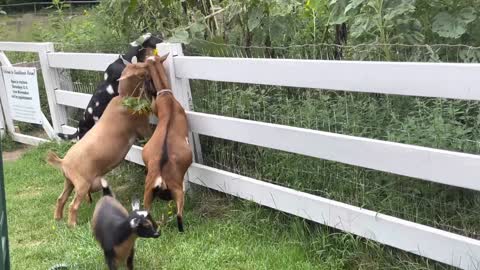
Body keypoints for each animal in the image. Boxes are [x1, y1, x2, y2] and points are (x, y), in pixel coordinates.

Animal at [142, 55, 192, 232]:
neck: (167, 99)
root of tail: (160, 177)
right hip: (178, 190)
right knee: (179, 215)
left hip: (147, 191)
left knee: (147, 213)